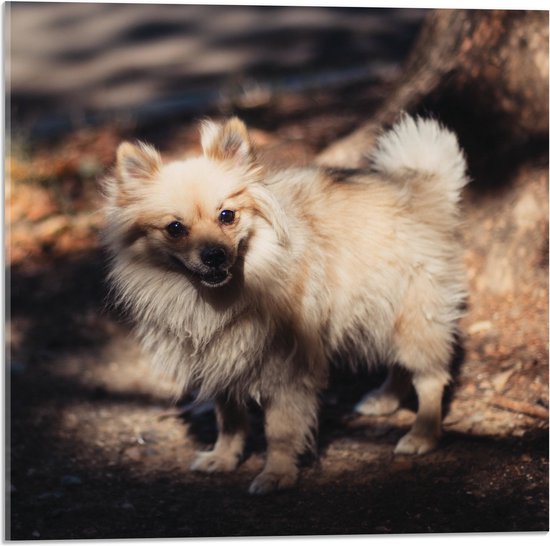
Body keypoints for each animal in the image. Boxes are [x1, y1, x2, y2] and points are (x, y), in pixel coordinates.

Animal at [103, 113, 470, 492]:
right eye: (175, 228)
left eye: (227, 216)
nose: (214, 255)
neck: (222, 296)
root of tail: (422, 186)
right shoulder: (222, 359)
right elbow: (229, 419)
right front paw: (224, 457)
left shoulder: (287, 367)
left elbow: (279, 429)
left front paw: (277, 472)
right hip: (378, 311)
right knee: (398, 363)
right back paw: (385, 400)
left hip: (414, 314)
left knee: (429, 377)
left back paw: (423, 433)